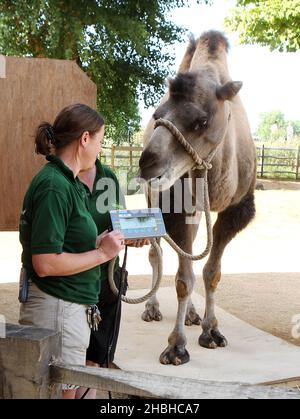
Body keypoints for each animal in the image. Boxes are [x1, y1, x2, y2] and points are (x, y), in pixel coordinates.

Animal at [139, 29, 256, 366]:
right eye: (157, 115)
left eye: (201, 121)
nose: (147, 163)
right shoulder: (174, 206)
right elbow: (183, 279)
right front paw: (176, 347)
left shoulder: (237, 210)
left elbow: (211, 272)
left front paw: (211, 330)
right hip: (154, 199)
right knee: (158, 253)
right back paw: (151, 308)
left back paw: (192, 315)